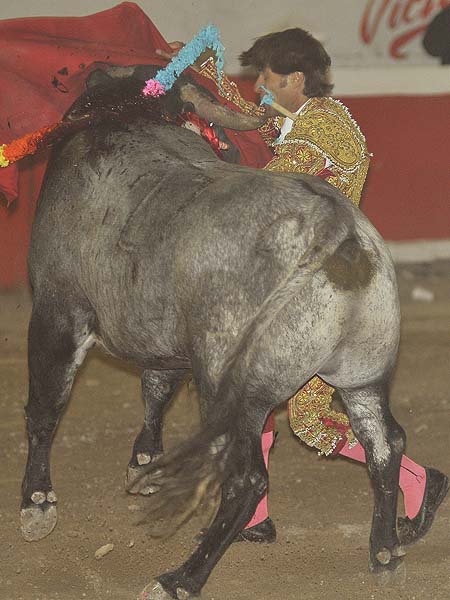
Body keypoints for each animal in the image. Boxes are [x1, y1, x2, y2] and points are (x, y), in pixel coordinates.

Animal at [20, 68, 405, 599]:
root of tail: (337, 226)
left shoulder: (57, 310)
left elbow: (46, 408)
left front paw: (37, 505)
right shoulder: (163, 339)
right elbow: (155, 390)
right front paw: (144, 465)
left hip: (231, 389)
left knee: (246, 480)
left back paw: (181, 577)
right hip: (363, 374)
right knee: (383, 445)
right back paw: (386, 549)